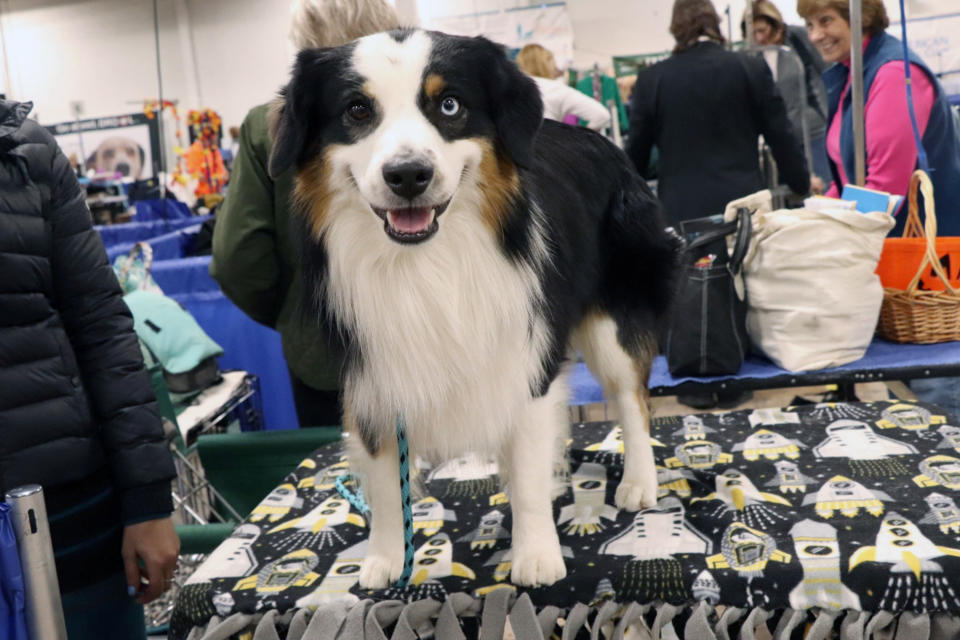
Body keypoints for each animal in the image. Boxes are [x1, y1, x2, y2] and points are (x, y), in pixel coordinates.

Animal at [266, 31, 680, 592]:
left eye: (449, 105)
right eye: (357, 110)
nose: (408, 175)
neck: (422, 263)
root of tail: (607, 145)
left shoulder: (525, 356)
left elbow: (528, 461)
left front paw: (536, 552)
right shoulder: (371, 374)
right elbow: (385, 478)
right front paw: (387, 558)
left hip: (615, 313)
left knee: (632, 397)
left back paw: (638, 481)